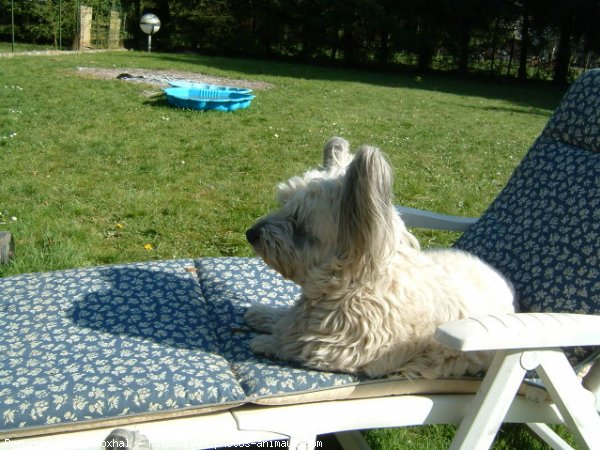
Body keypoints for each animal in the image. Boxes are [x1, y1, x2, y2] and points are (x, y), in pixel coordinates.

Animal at [245, 138, 516, 380]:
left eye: (298, 222)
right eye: (283, 204)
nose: (251, 233)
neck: (352, 285)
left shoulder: (340, 349)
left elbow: (295, 343)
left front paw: (267, 342)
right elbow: (285, 320)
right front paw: (264, 315)